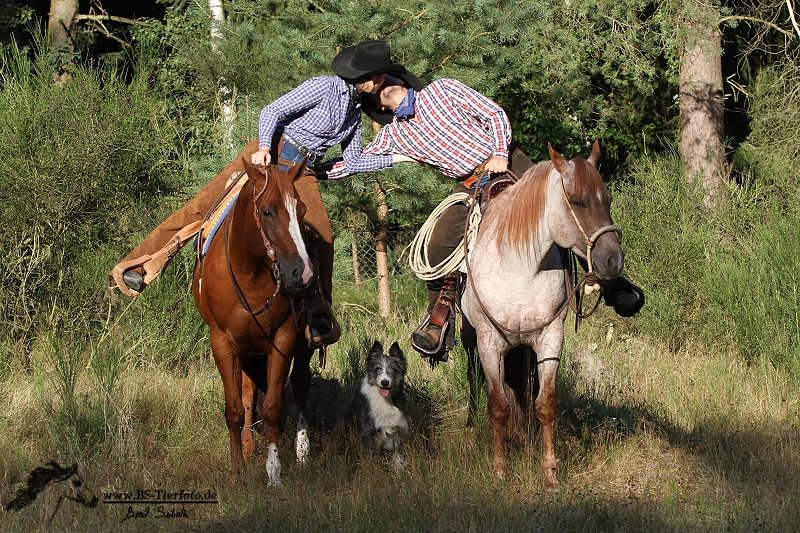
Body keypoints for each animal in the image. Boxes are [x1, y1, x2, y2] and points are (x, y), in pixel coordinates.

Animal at [193, 156, 316, 484]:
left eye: (301, 210)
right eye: (267, 211)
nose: (303, 273)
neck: (250, 273)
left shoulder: (284, 338)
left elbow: (273, 407)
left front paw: (274, 471)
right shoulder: (223, 343)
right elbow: (235, 409)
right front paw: (237, 469)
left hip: (301, 344)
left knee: (301, 385)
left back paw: (302, 453)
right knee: (249, 394)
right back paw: (248, 447)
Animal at [462, 140, 624, 486]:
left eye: (608, 199)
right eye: (578, 201)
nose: (613, 261)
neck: (520, 266)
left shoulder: (550, 339)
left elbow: (545, 404)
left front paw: (550, 471)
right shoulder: (489, 342)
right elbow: (497, 406)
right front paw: (500, 468)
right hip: (470, 340)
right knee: (472, 380)